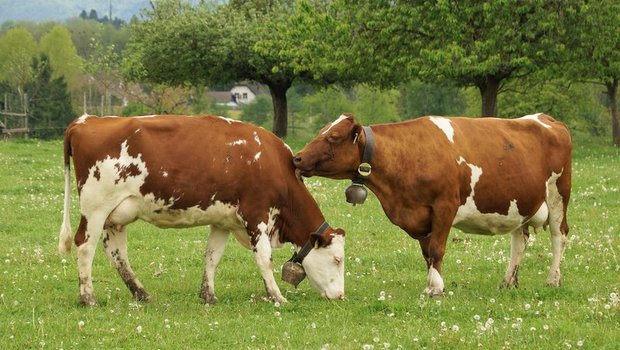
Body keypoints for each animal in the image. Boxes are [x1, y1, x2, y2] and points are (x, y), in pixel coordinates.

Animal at [60, 113, 346, 304]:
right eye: (337, 259)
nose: (340, 295)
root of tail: (86, 120)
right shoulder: (257, 216)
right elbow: (264, 259)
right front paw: (276, 296)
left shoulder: (223, 221)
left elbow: (212, 256)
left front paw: (208, 295)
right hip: (96, 208)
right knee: (85, 246)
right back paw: (88, 297)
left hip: (116, 215)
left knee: (117, 253)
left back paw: (140, 293)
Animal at [294, 112, 572, 296]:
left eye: (333, 137)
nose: (297, 158)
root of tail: (545, 118)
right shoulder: (418, 216)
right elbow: (427, 253)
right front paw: (431, 282)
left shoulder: (444, 207)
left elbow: (437, 250)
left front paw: (435, 288)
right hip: (519, 203)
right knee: (520, 240)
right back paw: (508, 281)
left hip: (559, 194)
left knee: (559, 235)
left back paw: (553, 279)